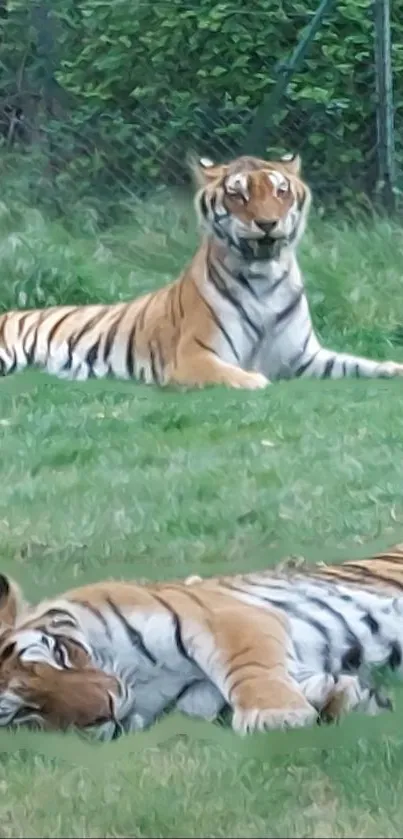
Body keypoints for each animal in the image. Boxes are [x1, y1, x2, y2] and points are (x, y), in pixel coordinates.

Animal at [0, 151, 403, 388]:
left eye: (280, 191)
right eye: (238, 194)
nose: (267, 224)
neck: (265, 276)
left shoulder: (304, 357)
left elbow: (356, 363)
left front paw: (392, 368)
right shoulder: (193, 357)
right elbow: (241, 377)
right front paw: (257, 380)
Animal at [1, 540, 402, 740]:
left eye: (60, 653)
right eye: (25, 712)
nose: (108, 710)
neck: (141, 683)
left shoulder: (223, 618)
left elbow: (247, 670)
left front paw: (276, 716)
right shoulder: (198, 699)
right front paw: (344, 697)